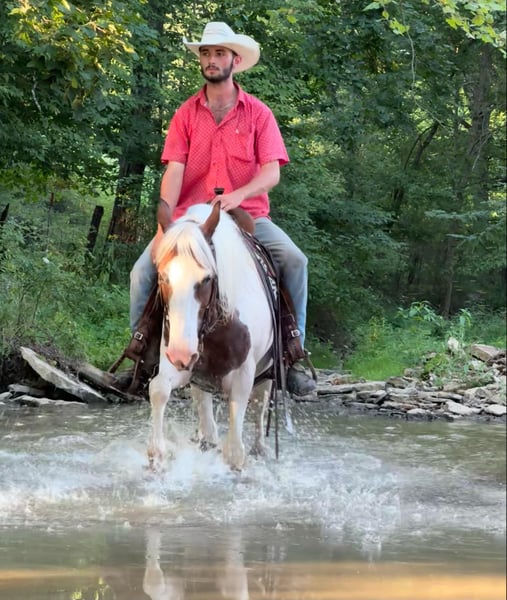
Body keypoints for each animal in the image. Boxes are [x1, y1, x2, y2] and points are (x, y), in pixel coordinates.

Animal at [147, 202, 275, 471]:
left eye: (206, 279)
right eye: (162, 276)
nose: (182, 353)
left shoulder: (244, 376)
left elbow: (235, 452)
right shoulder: (178, 362)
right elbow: (159, 388)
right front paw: (157, 453)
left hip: (266, 373)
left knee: (259, 407)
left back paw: (260, 449)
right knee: (205, 413)